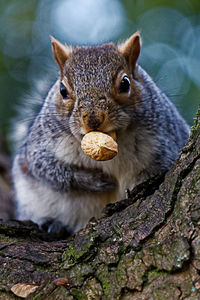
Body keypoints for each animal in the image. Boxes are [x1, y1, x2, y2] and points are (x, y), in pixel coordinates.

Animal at [11, 31, 190, 236]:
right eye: (62, 90)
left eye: (125, 83)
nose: (93, 119)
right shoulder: (40, 148)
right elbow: (51, 171)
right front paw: (98, 181)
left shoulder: (165, 141)